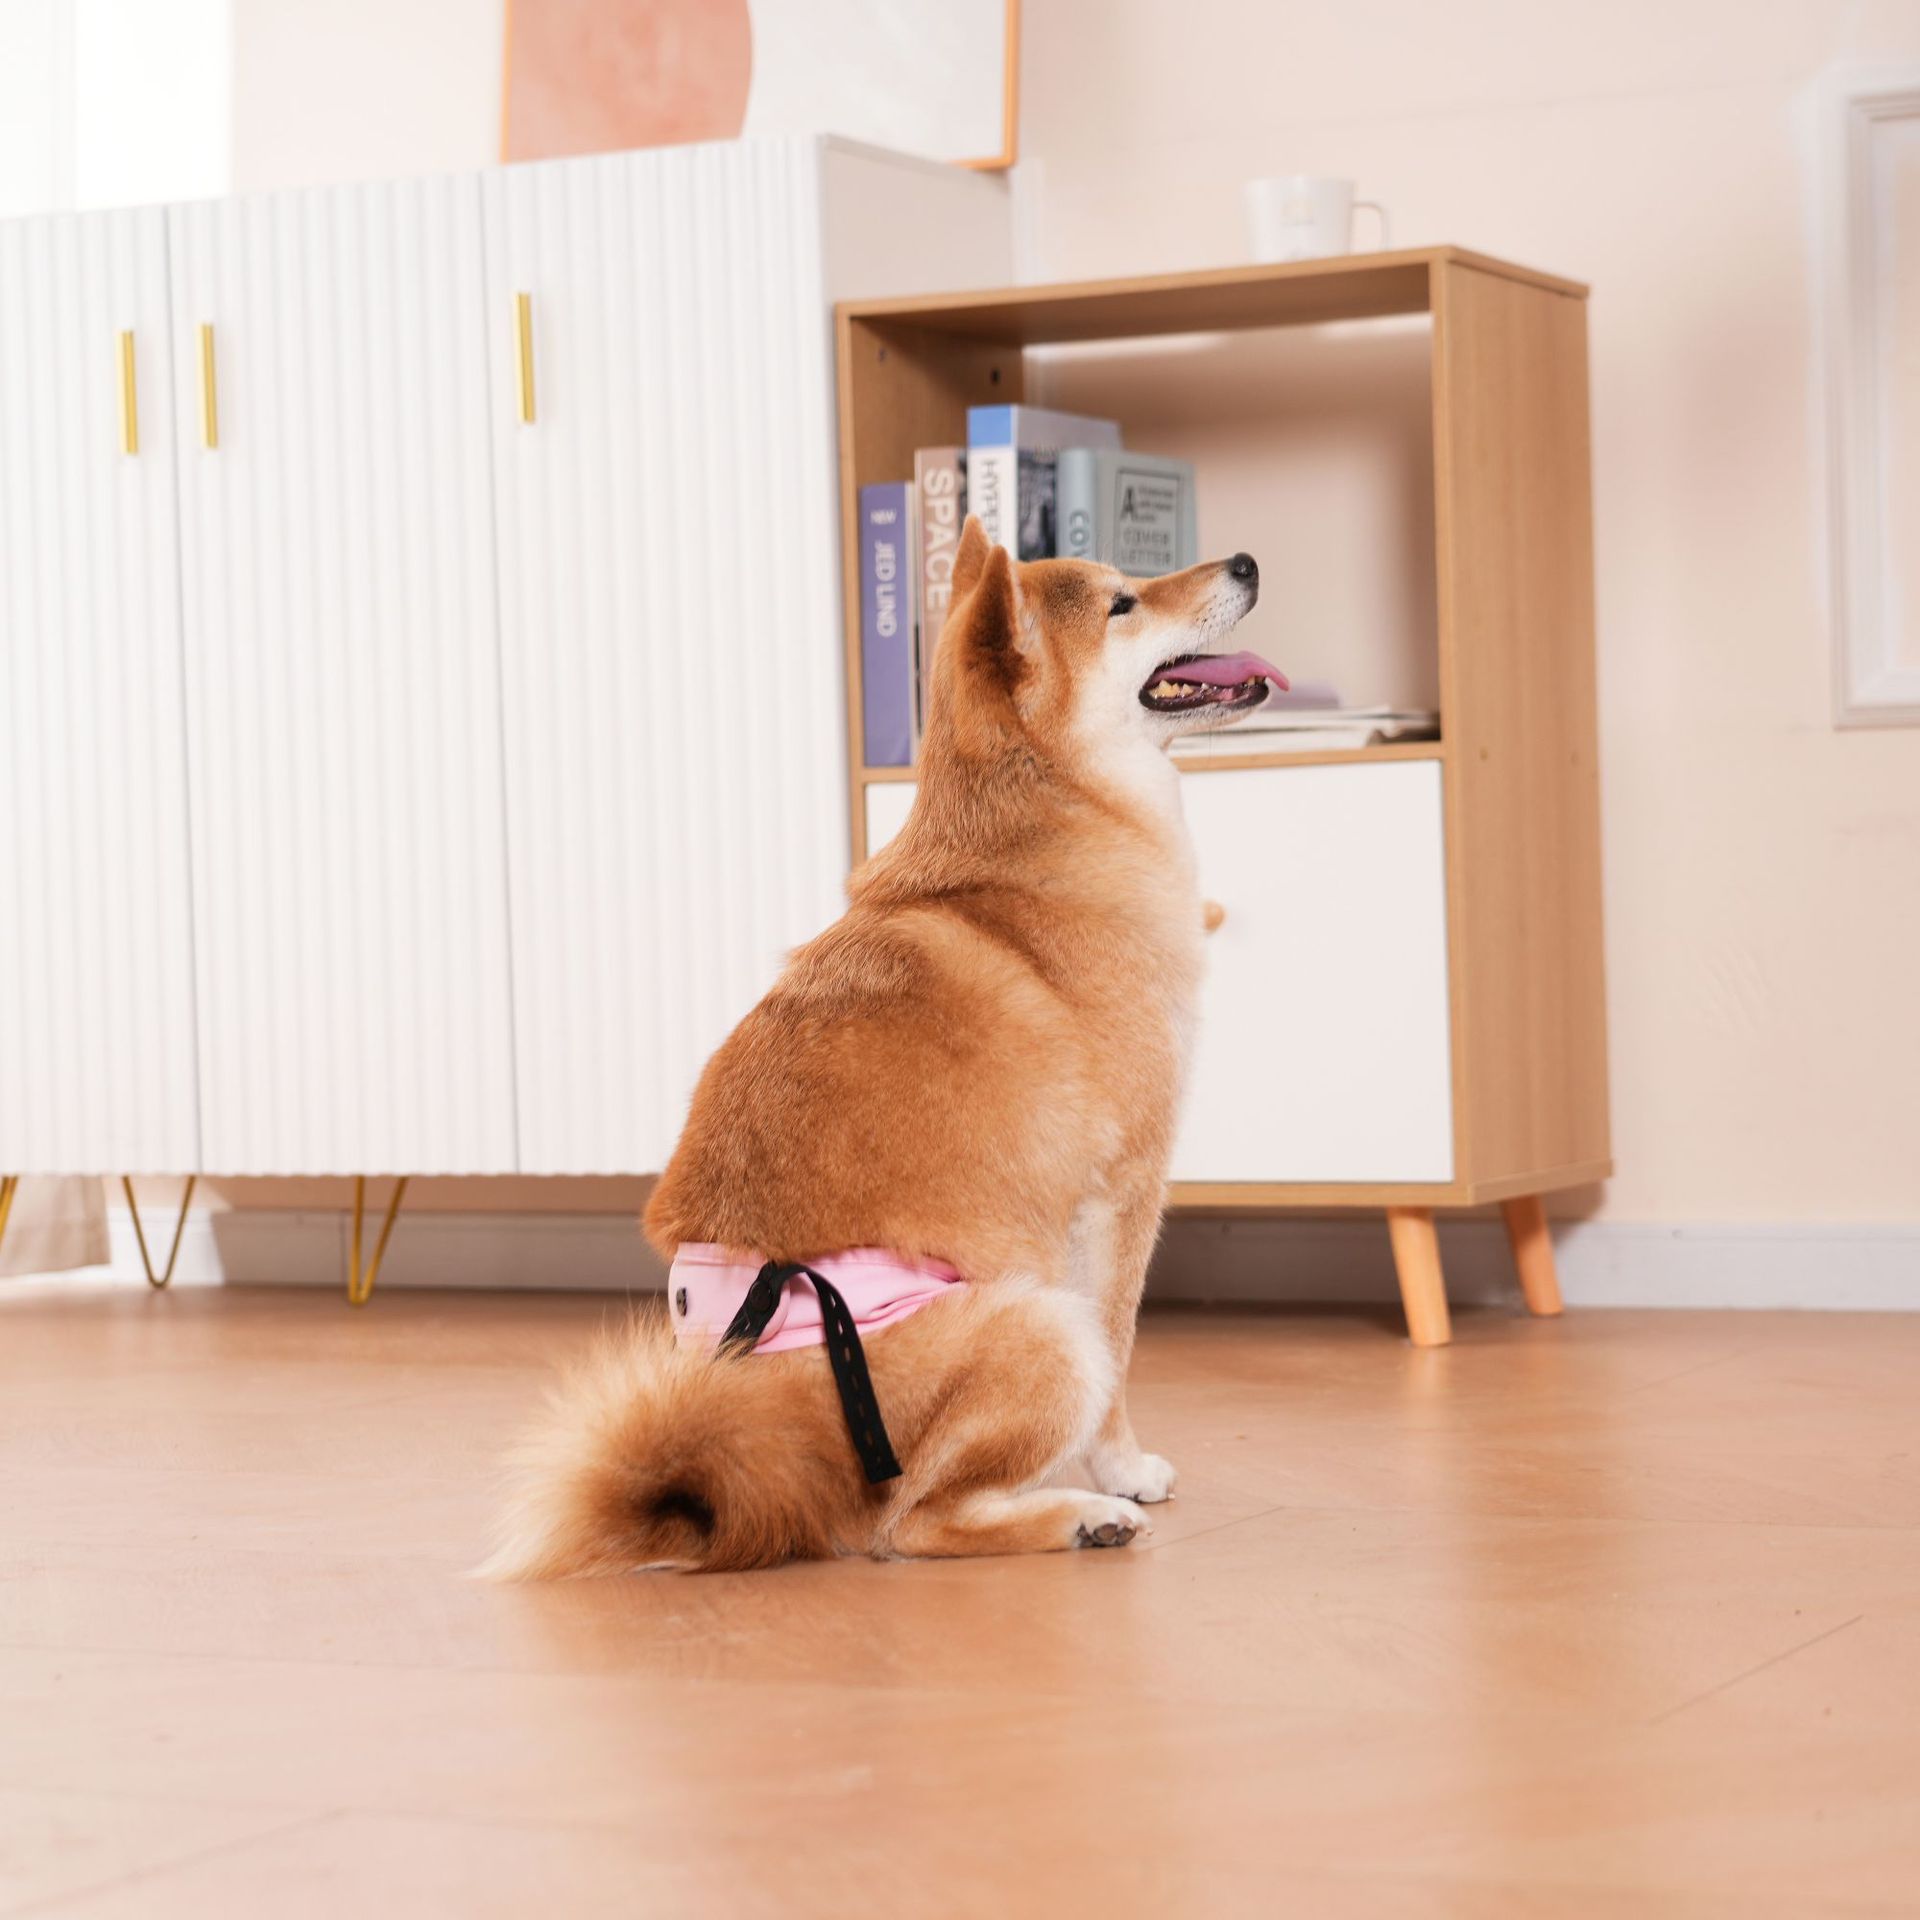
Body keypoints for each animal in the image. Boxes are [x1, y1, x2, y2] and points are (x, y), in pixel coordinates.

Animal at [483, 516, 1282, 1575]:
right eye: (1123, 603)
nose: (1246, 561)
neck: (1054, 829)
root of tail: (746, 1448)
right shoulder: (1124, 1191)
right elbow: (1121, 1351)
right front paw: (1121, 1467)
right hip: (1040, 1323)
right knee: (910, 1524)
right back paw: (1085, 1513)